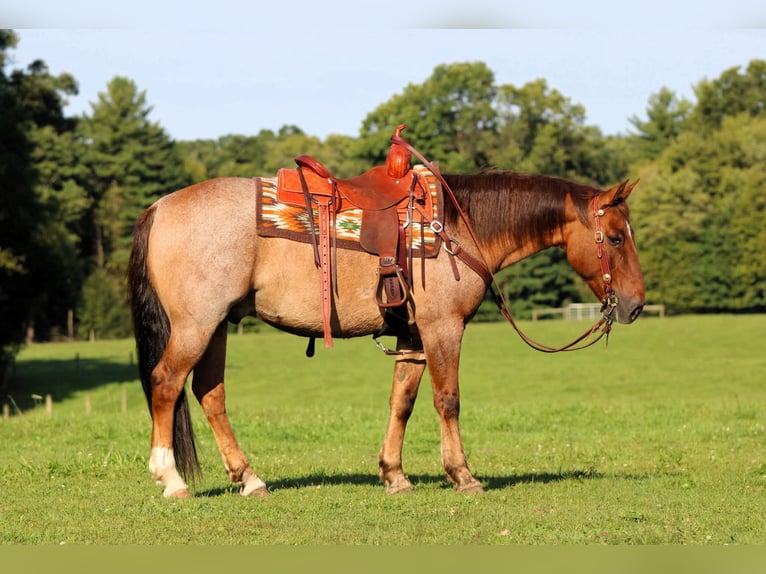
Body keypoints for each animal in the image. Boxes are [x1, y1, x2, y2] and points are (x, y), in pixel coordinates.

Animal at [127, 160, 644, 498]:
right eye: (617, 238)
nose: (636, 305)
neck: (457, 227)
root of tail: (160, 207)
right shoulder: (443, 328)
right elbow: (447, 400)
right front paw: (462, 475)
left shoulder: (412, 336)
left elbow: (403, 401)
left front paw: (394, 475)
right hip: (196, 326)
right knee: (166, 383)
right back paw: (171, 479)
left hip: (217, 326)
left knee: (210, 394)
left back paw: (249, 479)